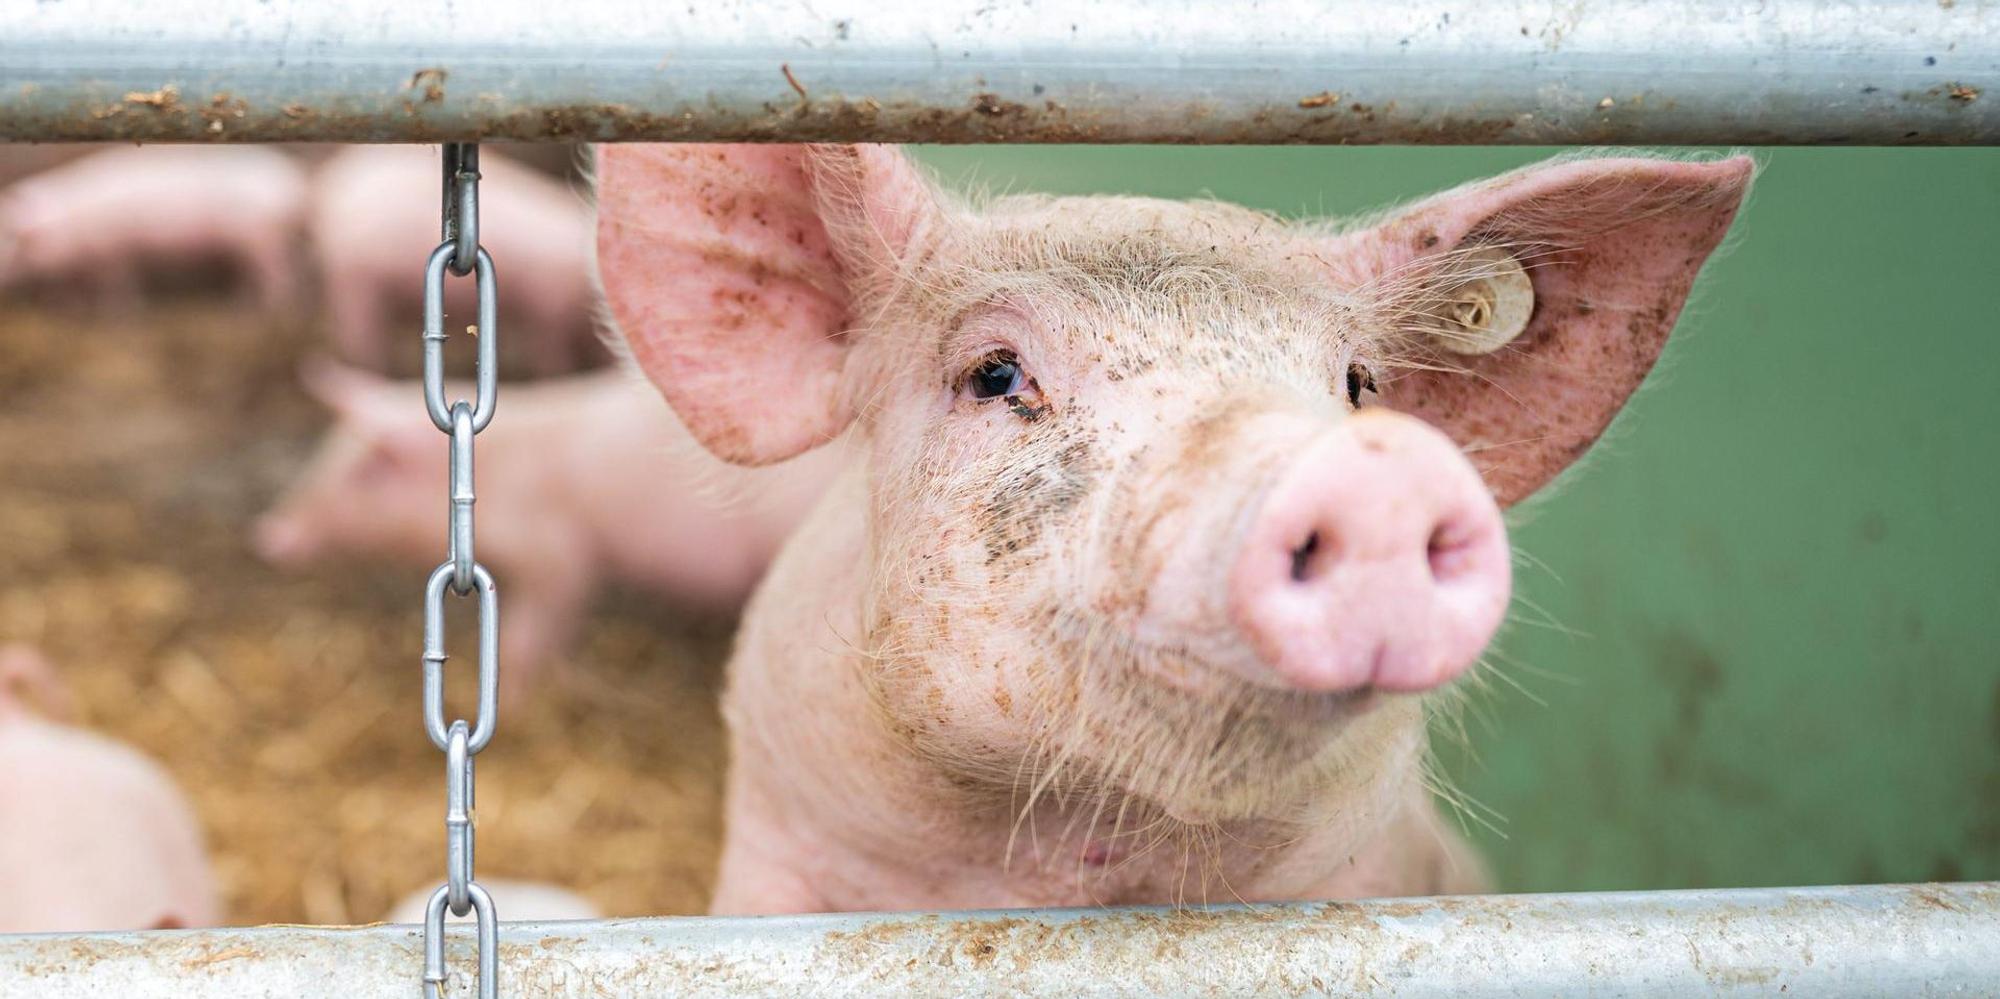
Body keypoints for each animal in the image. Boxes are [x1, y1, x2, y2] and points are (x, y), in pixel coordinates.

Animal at [0, 146, 306, 308]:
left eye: (14, 244)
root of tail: (292, 182)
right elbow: (70, 287)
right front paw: (65, 305)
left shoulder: (114, 251)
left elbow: (116, 282)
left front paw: (118, 309)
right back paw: (241, 300)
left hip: (260, 238)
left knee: (279, 275)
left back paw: (263, 309)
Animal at [252, 360, 842, 694]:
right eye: (324, 453)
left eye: (362, 472)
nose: (271, 535)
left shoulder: (562, 556)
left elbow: (527, 636)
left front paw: (518, 701)